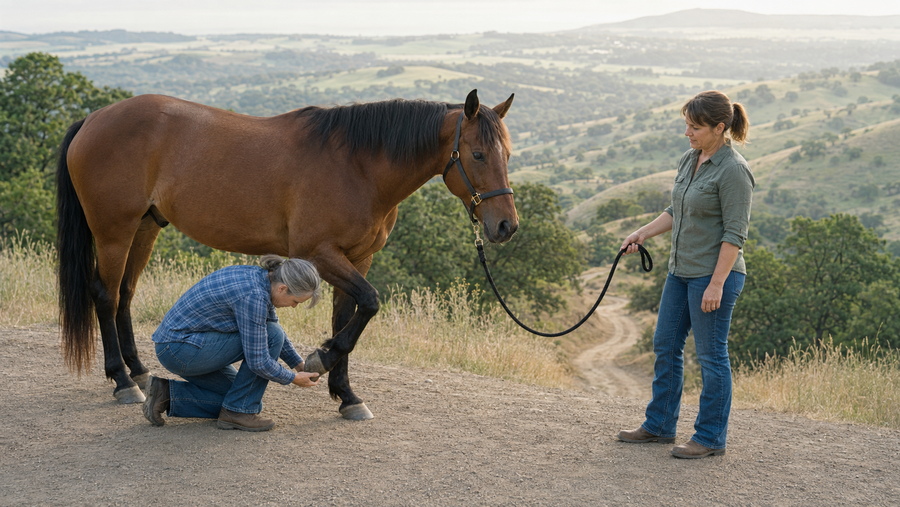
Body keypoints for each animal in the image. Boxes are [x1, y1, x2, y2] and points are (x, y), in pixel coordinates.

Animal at [55, 89, 517, 419]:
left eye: (508, 155)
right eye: (477, 154)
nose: (506, 226)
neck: (358, 167)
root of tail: (93, 119)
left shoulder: (357, 258)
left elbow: (348, 316)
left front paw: (346, 394)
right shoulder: (320, 254)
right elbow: (369, 303)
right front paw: (323, 357)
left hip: (145, 227)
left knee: (126, 295)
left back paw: (137, 368)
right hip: (114, 232)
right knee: (105, 296)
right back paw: (122, 381)